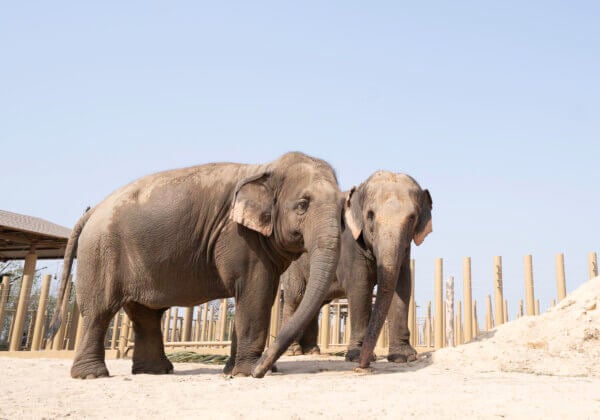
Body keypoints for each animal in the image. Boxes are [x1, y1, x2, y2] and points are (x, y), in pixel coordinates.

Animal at [47, 153, 342, 378]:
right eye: (302, 205)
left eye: (342, 210)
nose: (263, 369)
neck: (266, 168)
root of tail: (92, 211)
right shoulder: (239, 238)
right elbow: (254, 292)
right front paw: (248, 372)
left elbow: (254, 295)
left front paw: (232, 371)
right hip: (101, 252)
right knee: (100, 311)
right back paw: (92, 375)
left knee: (145, 314)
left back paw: (155, 371)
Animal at [278, 171, 428, 368]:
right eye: (370, 215)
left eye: (412, 218)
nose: (363, 367)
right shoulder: (351, 243)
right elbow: (360, 288)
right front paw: (356, 356)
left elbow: (402, 287)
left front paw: (403, 357)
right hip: (293, 264)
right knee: (296, 296)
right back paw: (294, 352)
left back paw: (312, 351)